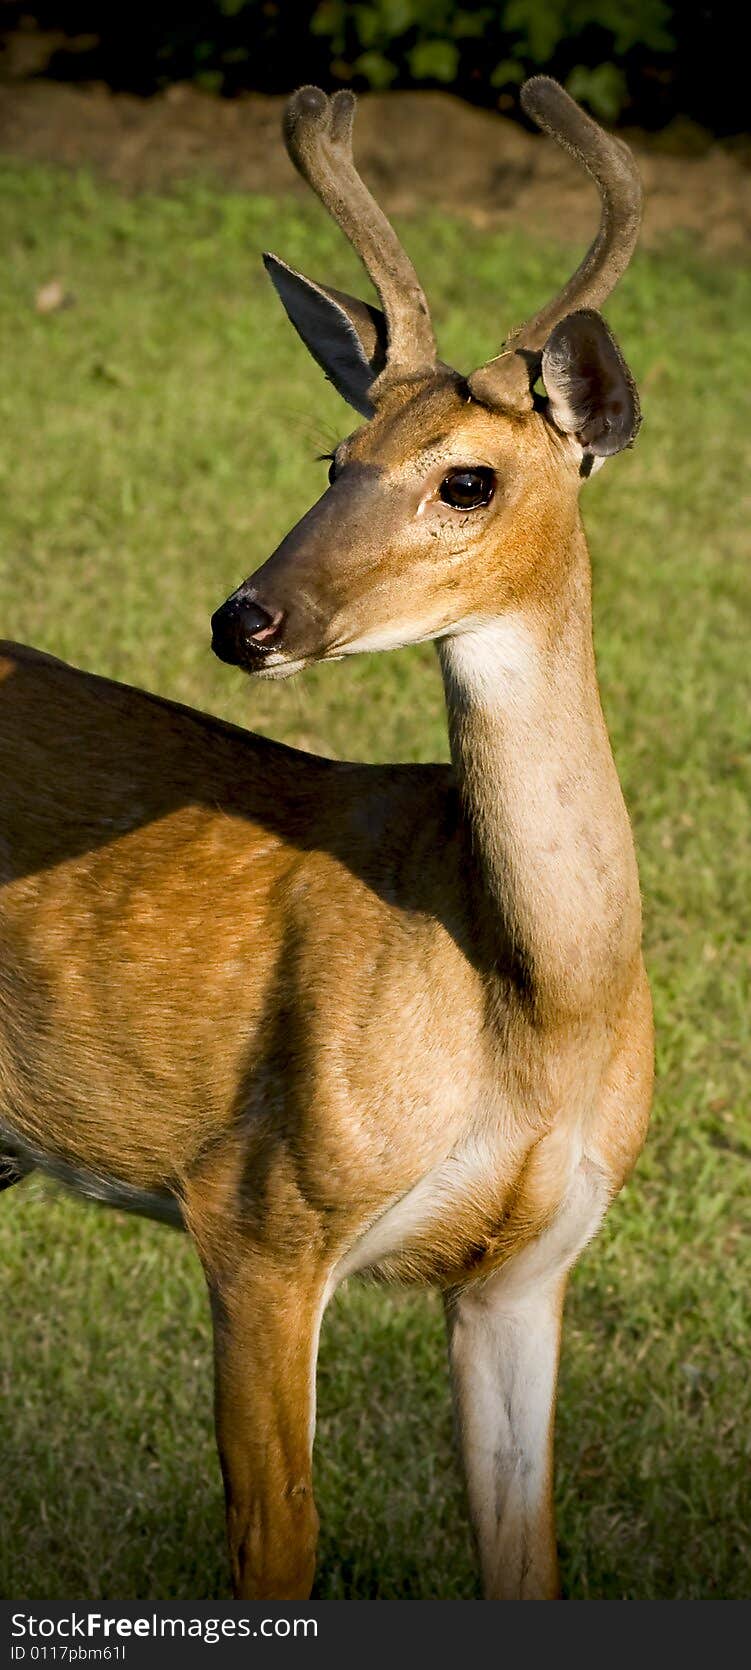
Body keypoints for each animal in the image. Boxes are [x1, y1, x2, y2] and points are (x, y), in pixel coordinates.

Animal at [0, 81, 654, 1603]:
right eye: (333, 457)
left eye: (465, 481)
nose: (246, 618)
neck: (536, 1010)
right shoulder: (259, 1206)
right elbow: (277, 1541)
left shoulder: (529, 1263)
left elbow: (525, 1552)